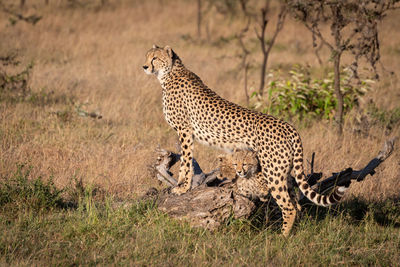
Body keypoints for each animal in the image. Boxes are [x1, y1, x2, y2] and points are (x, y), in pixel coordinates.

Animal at [144, 45, 350, 237]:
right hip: (284, 170)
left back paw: (282, 237)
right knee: (296, 203)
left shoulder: (185, 131)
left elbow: (186, 161)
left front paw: (182, 188)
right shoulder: (186, 132)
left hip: (273, 171)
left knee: (288, 206)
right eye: (147, 56)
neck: (169, 73)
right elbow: (185, 161)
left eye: (155, 58)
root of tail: (289, 126)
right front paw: (181, 186)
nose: (144, 66)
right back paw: (294, 232)